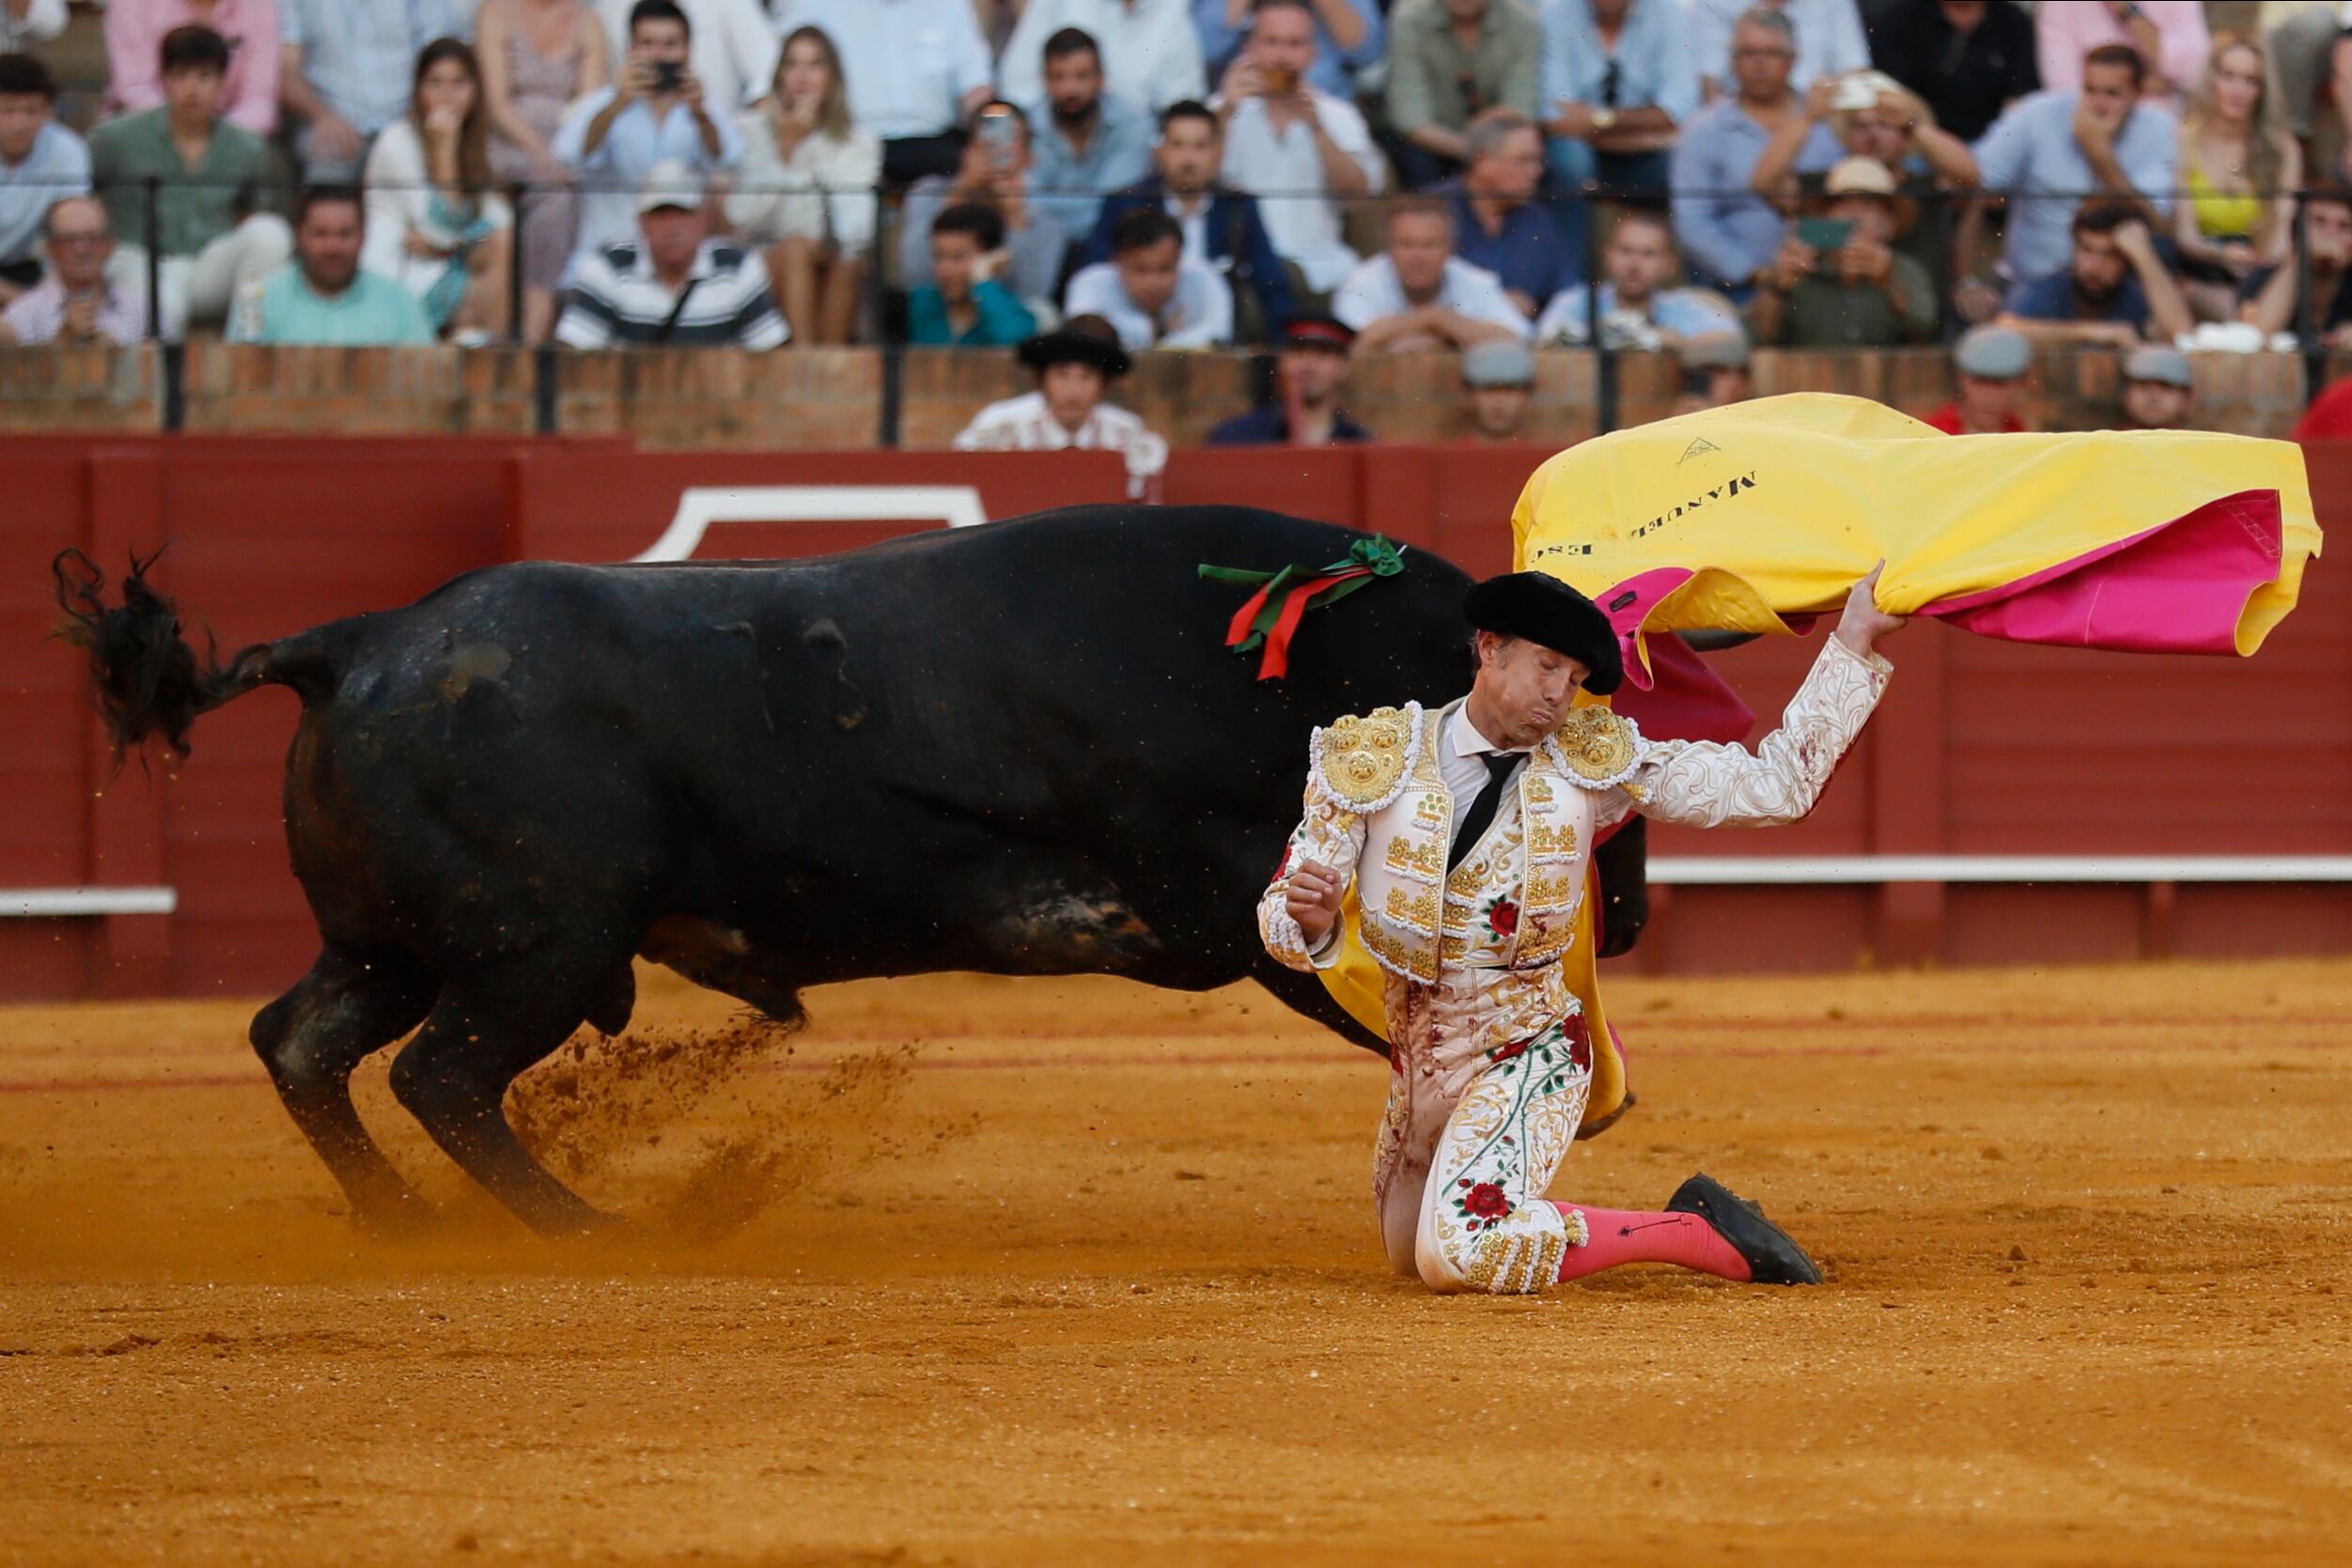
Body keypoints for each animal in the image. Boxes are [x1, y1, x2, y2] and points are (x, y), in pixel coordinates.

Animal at [50, 509, 1637, 1232]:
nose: (1620, 919)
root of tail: (362, 639)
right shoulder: (1220, 902)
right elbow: (1372, 999)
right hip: (537, 947)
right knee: (438, 1074)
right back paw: (579, 1227)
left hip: (397, 943)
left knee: (302, 1040)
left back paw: (407, 1226)